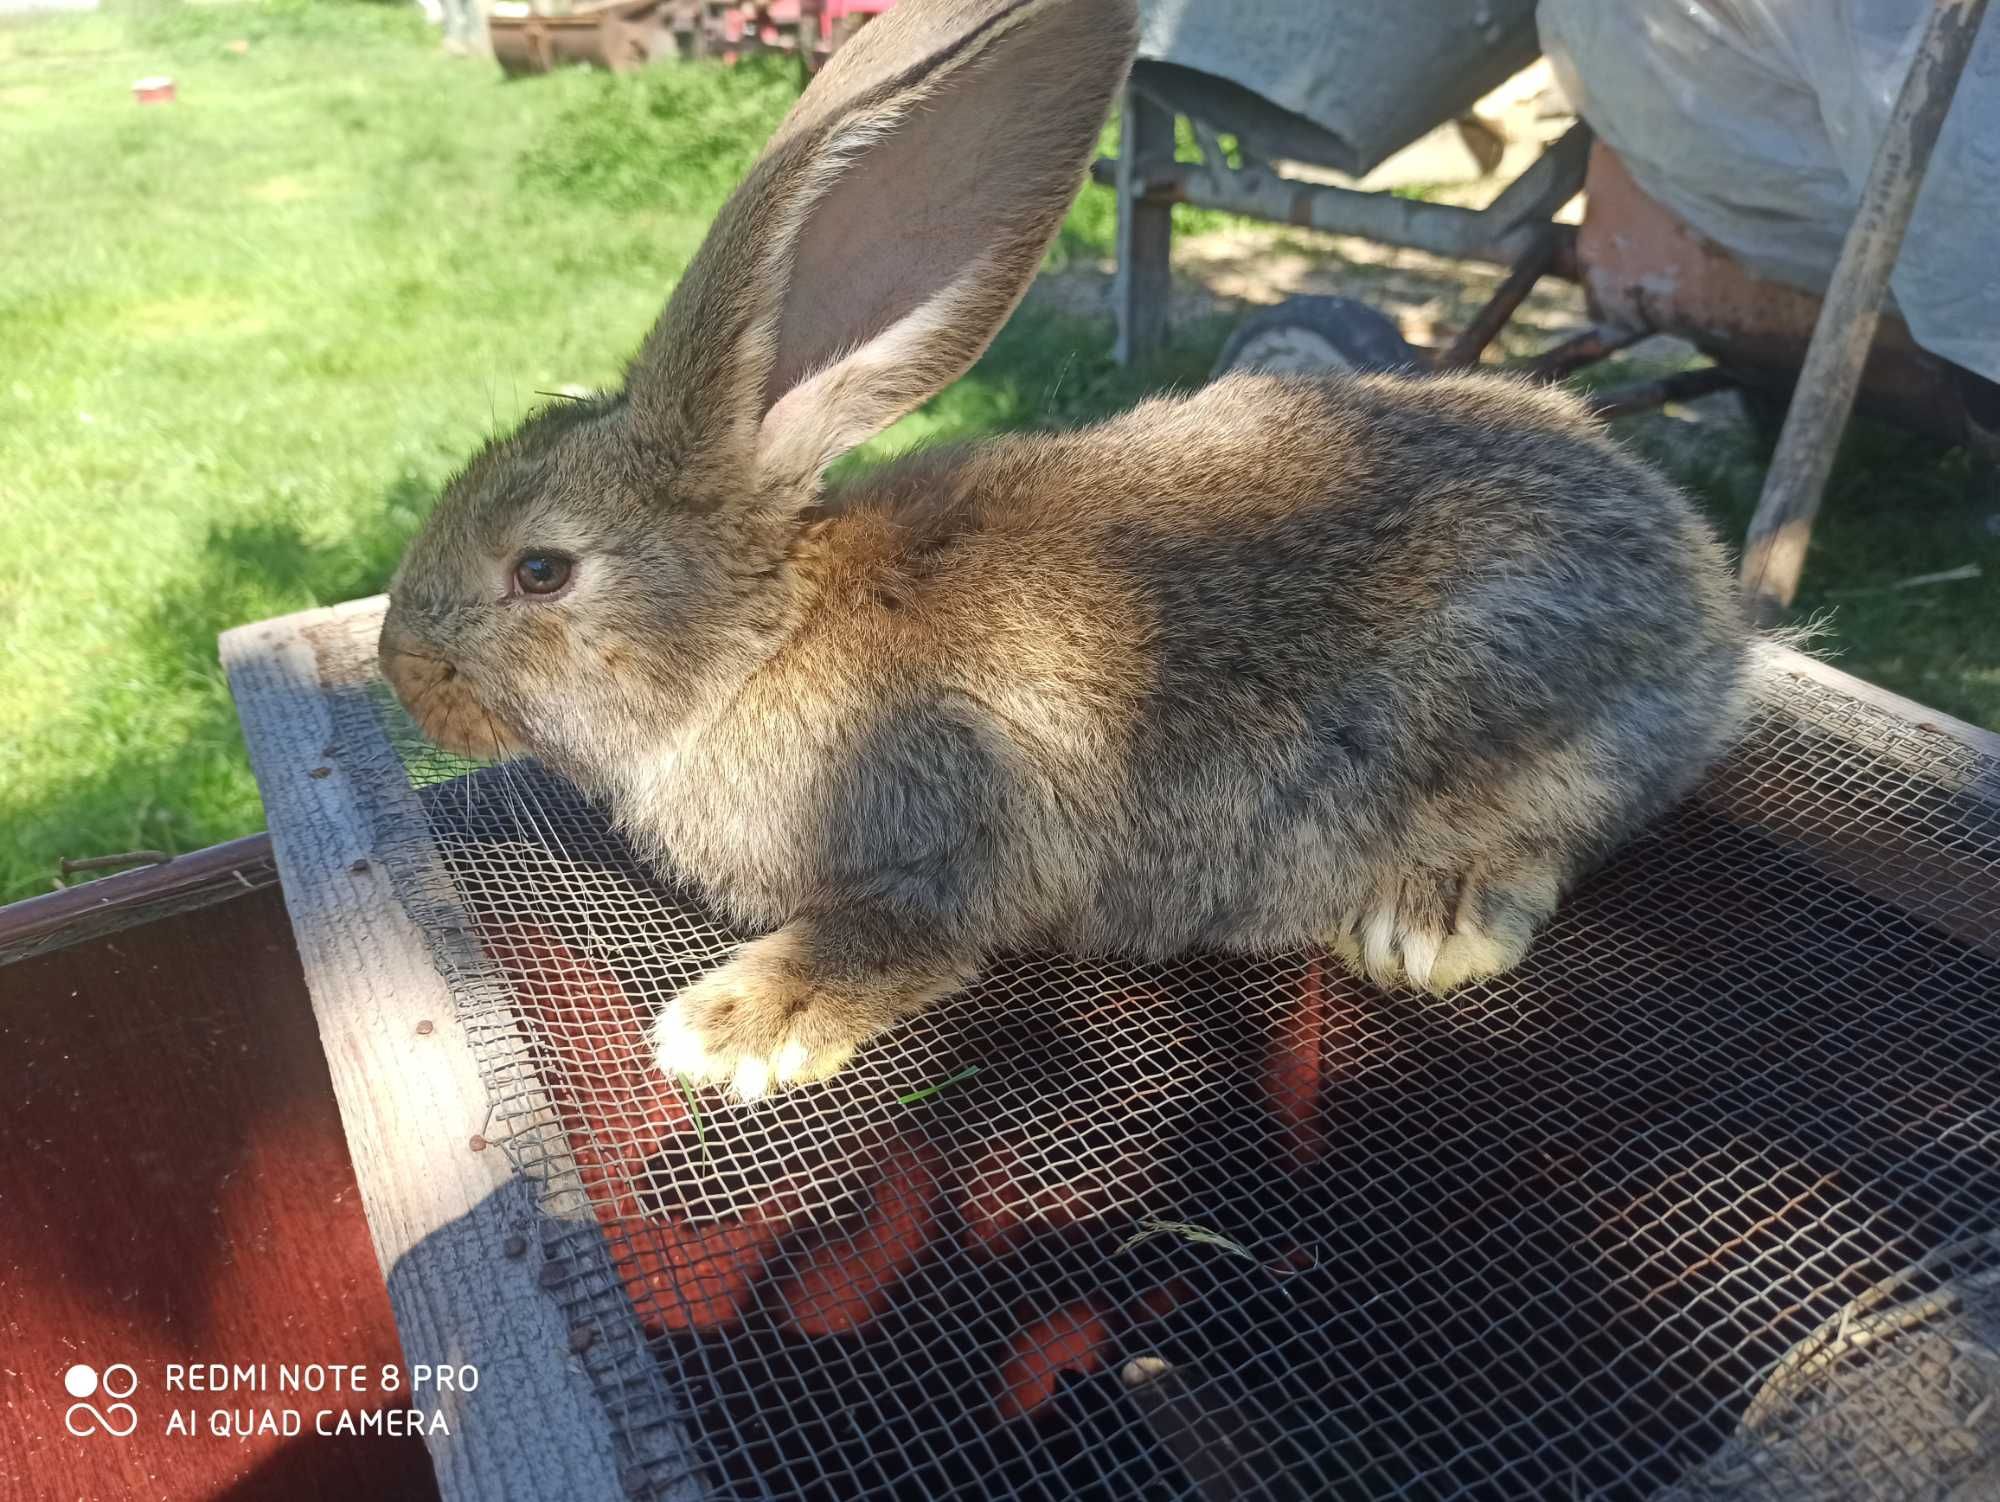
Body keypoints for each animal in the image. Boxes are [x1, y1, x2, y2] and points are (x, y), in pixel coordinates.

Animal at [376, 0, 1752, 1104]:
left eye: (540, 570)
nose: (401, 667)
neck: (751, 640)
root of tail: (1709, 613)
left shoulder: (950, 833)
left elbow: (896, 937)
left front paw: (734, 1028)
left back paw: (1431, 913)